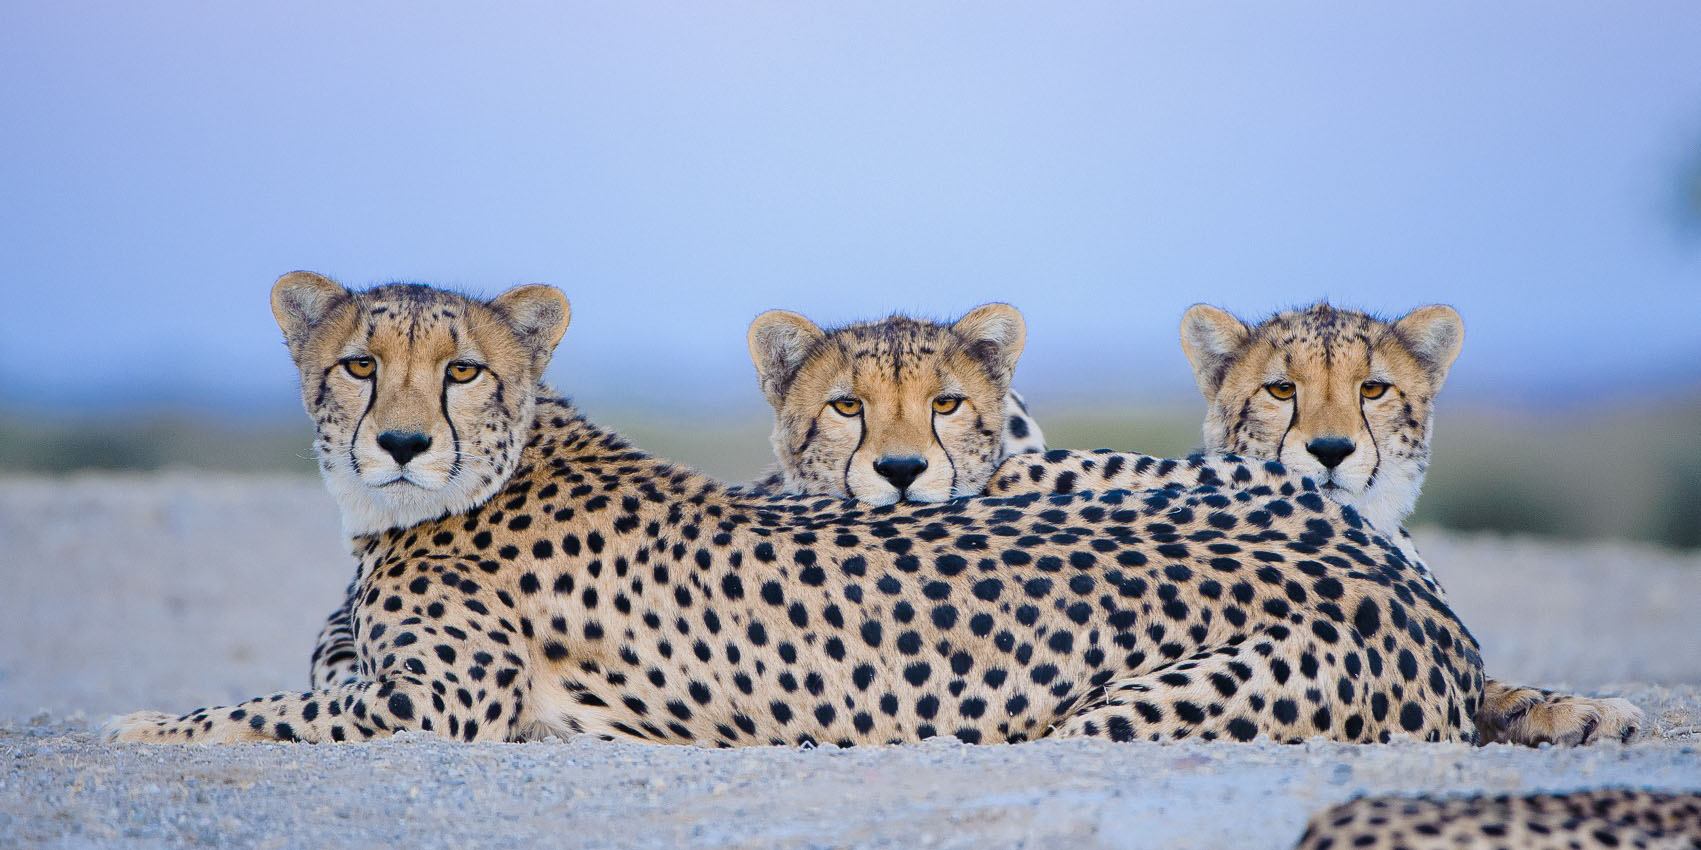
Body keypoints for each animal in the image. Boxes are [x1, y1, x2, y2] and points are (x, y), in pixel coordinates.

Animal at [106, 273, 1484, 746]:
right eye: (357, 365)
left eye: (461, 371)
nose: (400, 442)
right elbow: (290, 687)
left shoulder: (433, 707)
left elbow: (262, 710)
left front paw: (139, 723)